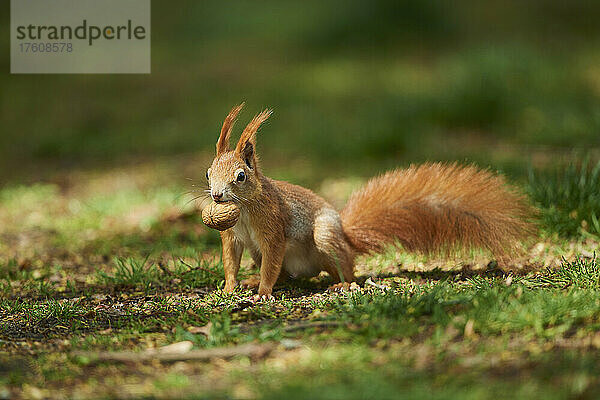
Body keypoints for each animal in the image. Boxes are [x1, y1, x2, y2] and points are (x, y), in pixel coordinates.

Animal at [204, 104, 532, 298]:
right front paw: (231, 286)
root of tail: (347, 237)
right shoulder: (232, 237)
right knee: (285, 273)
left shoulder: (272, 228)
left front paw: (262, 291)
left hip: (325, 237)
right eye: (208, 173)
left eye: (241, 176)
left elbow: (272, 260)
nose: (217, 196)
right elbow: (230, 261)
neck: (246, 208)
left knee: (348, 270)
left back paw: (342, 283)